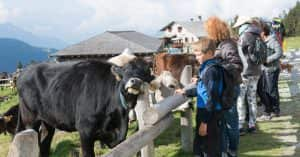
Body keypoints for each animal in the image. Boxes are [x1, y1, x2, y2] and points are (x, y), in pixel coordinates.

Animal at [15, 58, 155, 157]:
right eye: (125, 71)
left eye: (145, 73)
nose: (135, 81)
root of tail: (25, 72)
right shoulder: (85, 130)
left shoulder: (119, 135)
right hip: (29, 118)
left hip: (48, 120)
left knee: (45, 141)